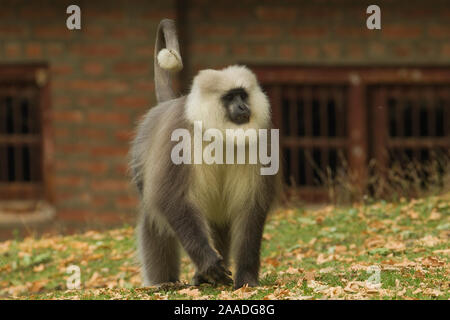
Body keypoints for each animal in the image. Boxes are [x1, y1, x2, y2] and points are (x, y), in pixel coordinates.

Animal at [128, 18, 280, 288]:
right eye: (230, 98)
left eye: (242, 95)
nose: (243, 107)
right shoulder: (179, 139)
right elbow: (172, 200)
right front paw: (209, 266)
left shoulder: (260, 144)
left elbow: (250, 208)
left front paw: (246, 278)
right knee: (156, 220)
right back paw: (165, 282)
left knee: (219, 223)